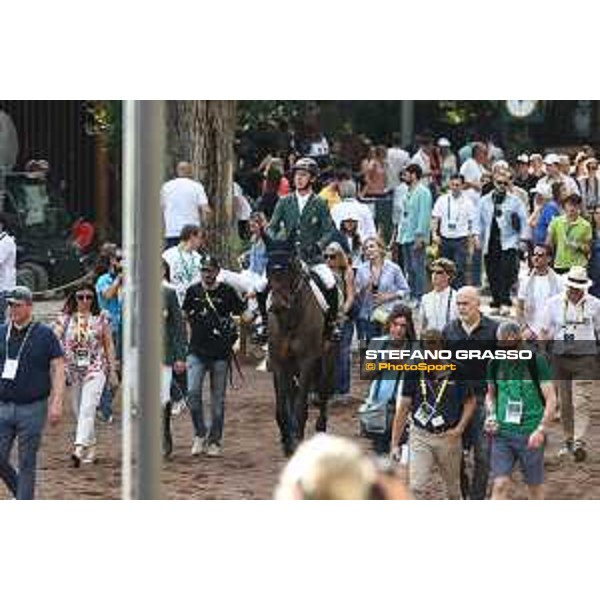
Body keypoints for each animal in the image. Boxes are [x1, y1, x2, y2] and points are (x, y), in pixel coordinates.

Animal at [268, 239, 338, 454]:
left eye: (290, 267)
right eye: (268, 269)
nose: (277, 304)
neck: (290, 320)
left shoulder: (307, 361)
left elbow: (300, 406)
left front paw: (296, 438)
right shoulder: (279, 362)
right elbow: (282, 405)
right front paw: (287, 439)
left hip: (327, 359)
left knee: (322, 392)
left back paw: (320, 429)